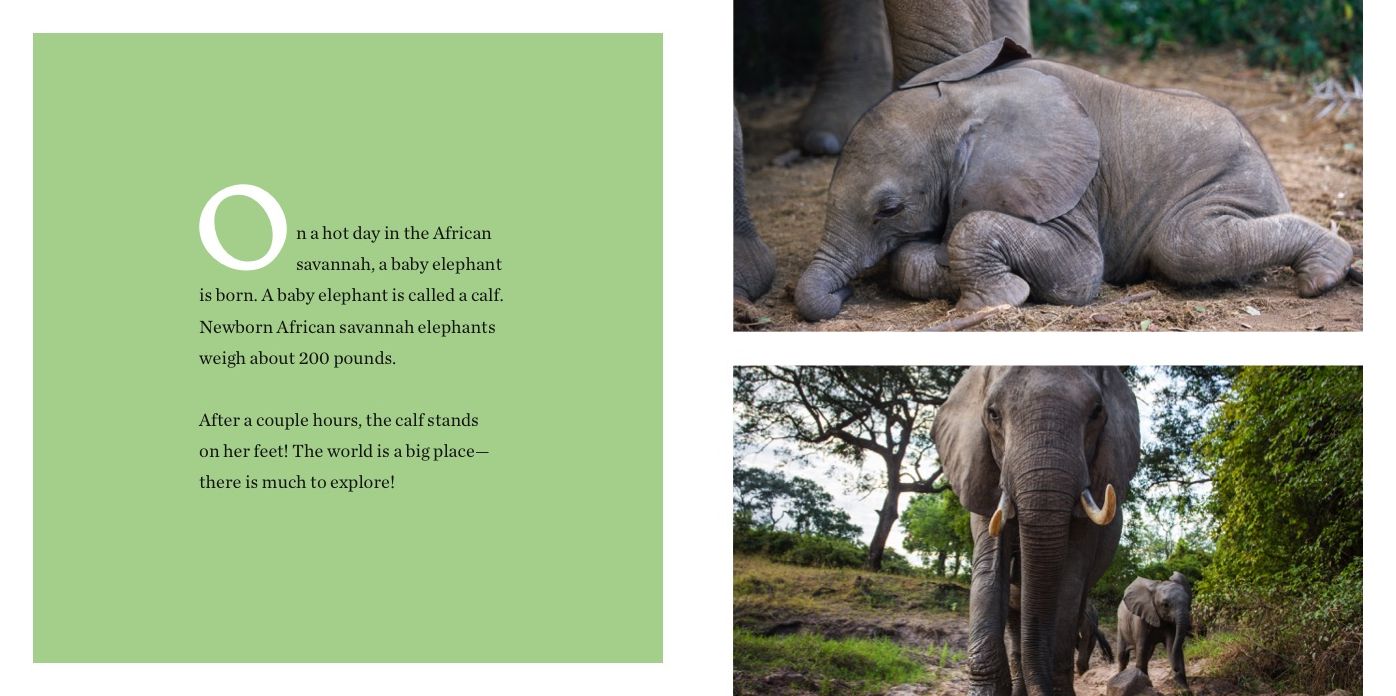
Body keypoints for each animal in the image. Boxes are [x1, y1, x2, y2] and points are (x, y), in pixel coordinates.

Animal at [792, 37, 1355, 321]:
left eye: (889, 209)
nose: (843, 298)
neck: (965, 102)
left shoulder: (1073, 185)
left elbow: (1079, 273)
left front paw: (992, 301)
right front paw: (947, 268)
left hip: (1229, 186)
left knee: (1186, 245)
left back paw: (1326, 273)